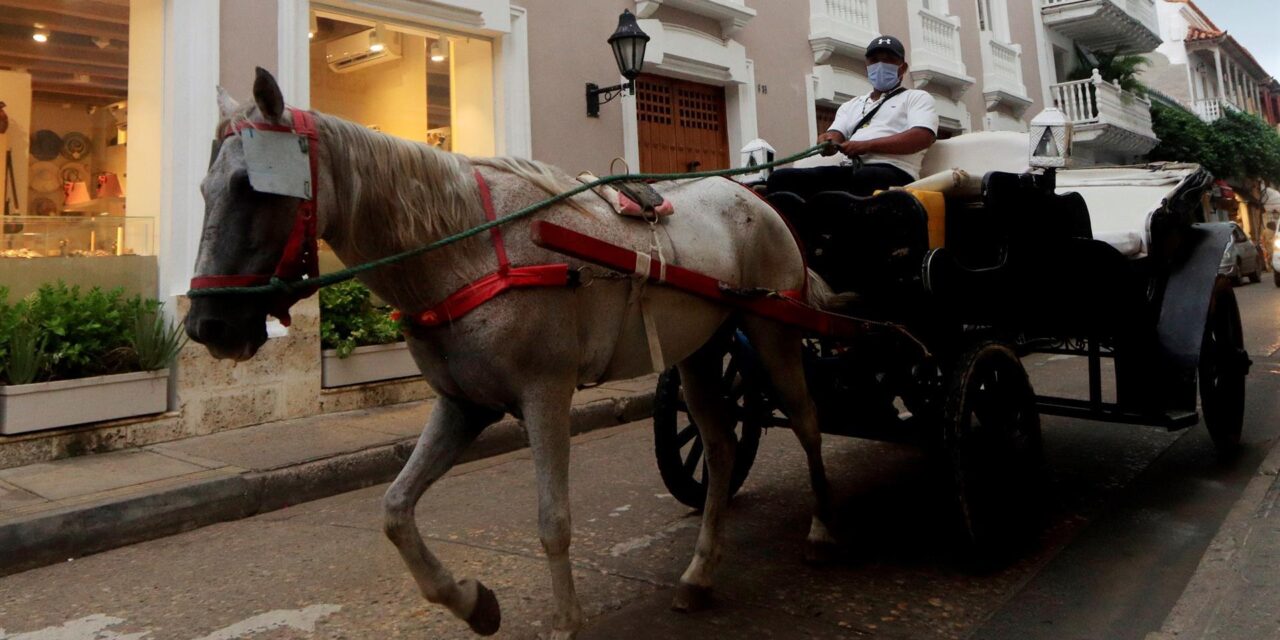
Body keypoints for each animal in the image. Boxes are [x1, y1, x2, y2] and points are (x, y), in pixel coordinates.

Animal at [185, 67, 834, 637]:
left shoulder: (545, 396)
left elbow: (553, 522)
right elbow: (395, 510)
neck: (467, 250)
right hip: (699, 351)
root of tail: (755, 197)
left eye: (251, 188)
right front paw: (472, 602)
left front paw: (566, 621)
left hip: (774, 335)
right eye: (204, 189)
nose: (207, 324)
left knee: (807, 424)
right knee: (721, 448)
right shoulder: (464, 404)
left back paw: (821, 531)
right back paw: (699, 574)